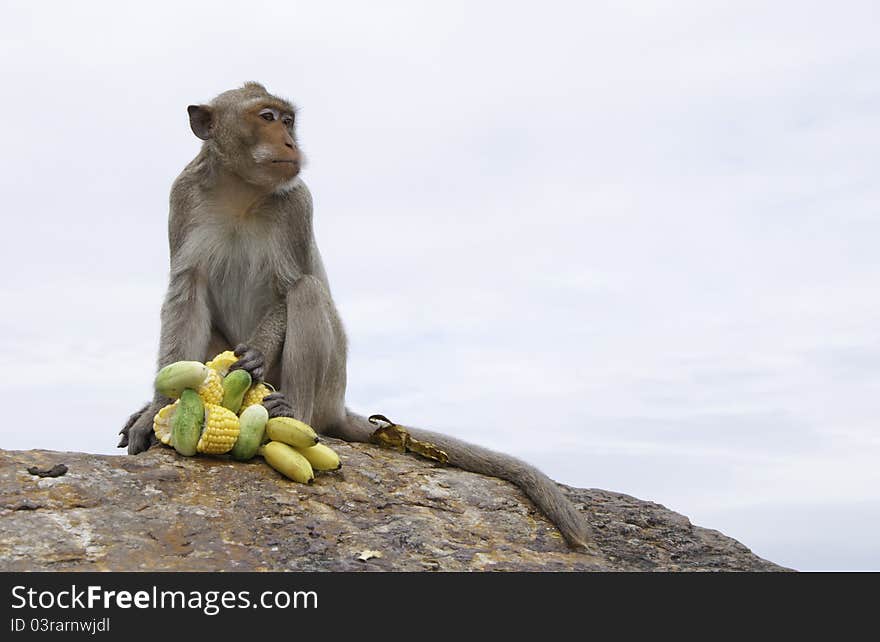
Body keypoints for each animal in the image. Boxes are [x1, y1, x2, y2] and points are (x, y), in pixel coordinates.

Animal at [117, 82, 596, 548]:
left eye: (287, 120)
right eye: (267, 117)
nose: (290, 142)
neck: (241, 191)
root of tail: (335, 408)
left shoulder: (298, 205)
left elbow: (290, 287)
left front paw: (254, 355)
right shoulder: (183, 197)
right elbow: (187, 294)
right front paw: (157, 409)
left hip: (329, 384)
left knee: (308, 293)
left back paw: (293, 414)